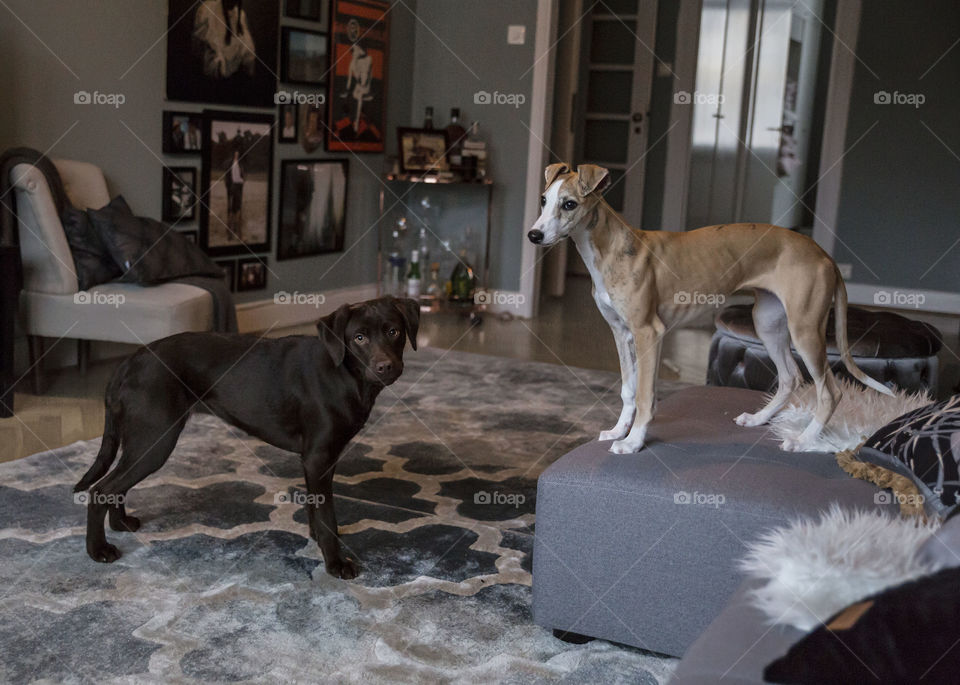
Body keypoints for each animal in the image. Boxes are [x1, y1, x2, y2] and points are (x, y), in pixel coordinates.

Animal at [73, 294, 418, 576]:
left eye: (393, 331)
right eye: (359, 337)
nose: (386, 366)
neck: (344, 374)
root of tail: (128, 362)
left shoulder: (314, 460)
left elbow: (315, 507)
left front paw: (317, 539)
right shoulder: (319, 457)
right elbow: (326, 513)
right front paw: (335, 564)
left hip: (140, 439)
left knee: (116, 485)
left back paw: (120, 524)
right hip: (154, 441)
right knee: (101, 490)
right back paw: (97, 551)